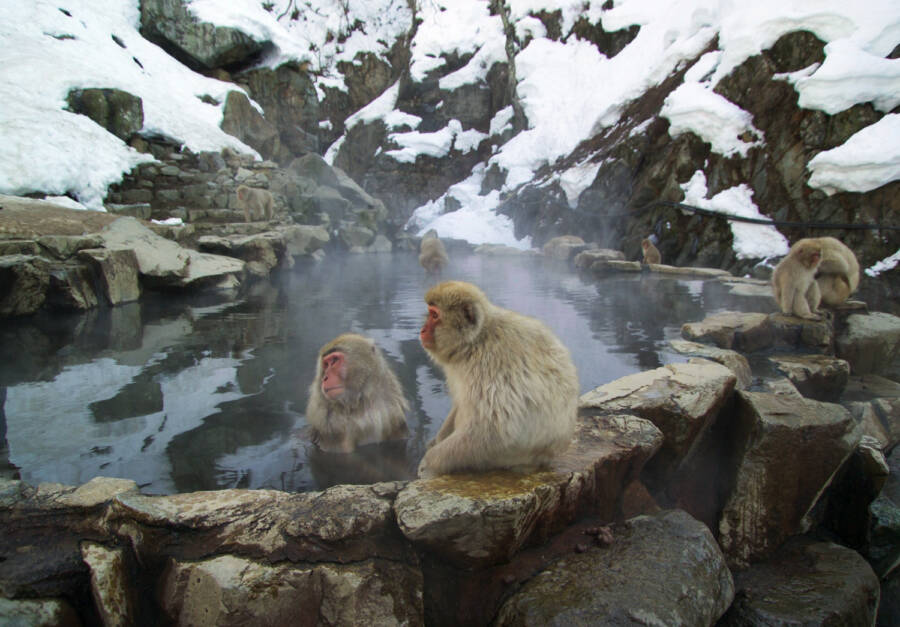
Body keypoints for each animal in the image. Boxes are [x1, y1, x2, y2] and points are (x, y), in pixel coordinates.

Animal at [417, 281, 579, 478]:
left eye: (434, 315)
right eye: (430, 312)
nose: (422, 330)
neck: (474, 343)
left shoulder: (489, 365)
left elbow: (493, 430)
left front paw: (429, 464)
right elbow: (460, 402)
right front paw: (437, 440)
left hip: (506, 457)